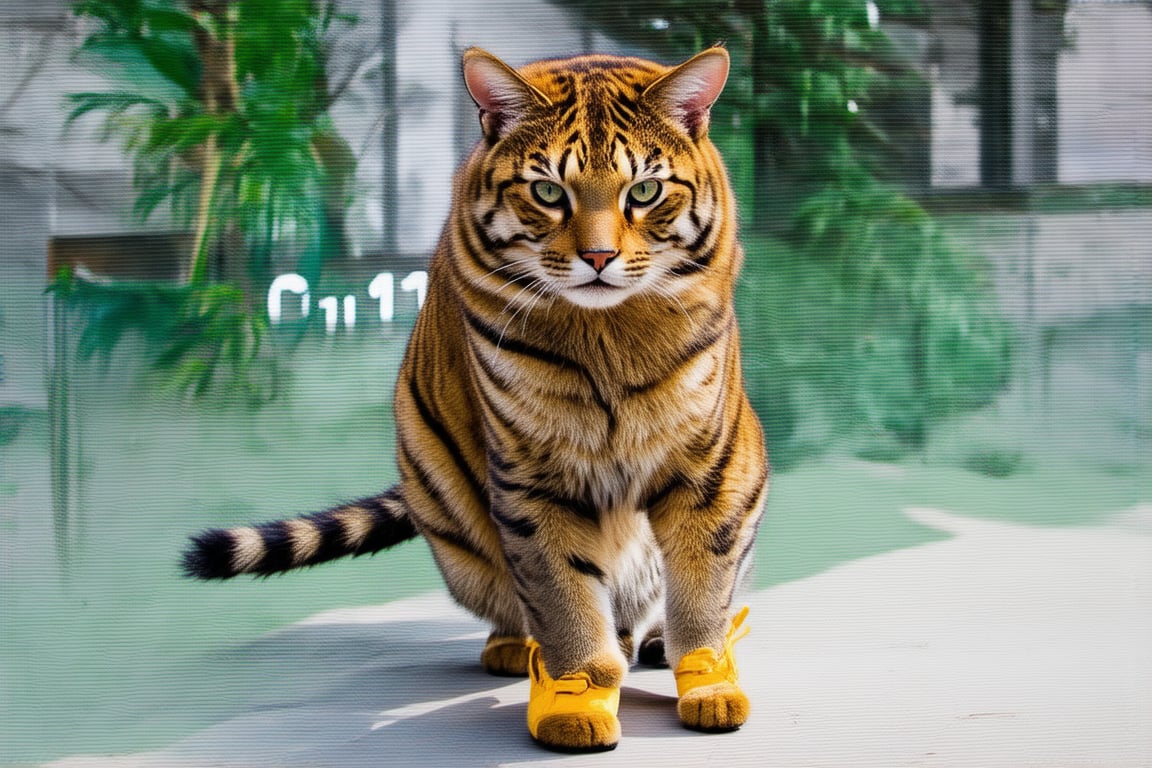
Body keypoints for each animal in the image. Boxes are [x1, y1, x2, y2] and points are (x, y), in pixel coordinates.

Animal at [184, 45, 769, 755]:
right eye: (548, 191)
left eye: (644, 192)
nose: (599, 257)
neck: (607, 331)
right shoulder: (532, 477)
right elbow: (564, 594)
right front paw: (575, 700)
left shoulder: (711, 469)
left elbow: (703, 587)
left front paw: (709, 685)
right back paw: (517, 649)